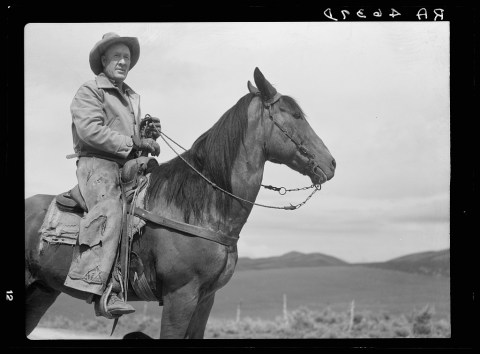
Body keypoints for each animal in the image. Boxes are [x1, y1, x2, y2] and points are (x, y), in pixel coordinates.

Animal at [24, 68, 336, 338]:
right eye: (296, 115)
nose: (331, 163)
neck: (202, 208)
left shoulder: (206, 298)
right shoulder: (181, 295)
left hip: (42, 291)